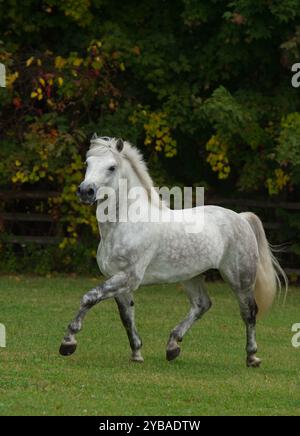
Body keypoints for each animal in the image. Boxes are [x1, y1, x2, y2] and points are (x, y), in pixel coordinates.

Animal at [58, 135, 286, 366]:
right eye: (87, 163)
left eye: (112, 167)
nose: (85, 191)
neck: (125, 223)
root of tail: (240, 217)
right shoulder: (119, 280)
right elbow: (127, 317)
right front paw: (137, 353)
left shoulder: (129, 277)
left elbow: (89, 297)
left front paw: (68, 342)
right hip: (191, 276)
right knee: (202, 304)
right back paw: (172, 346)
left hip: (240, 279)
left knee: (249, 312)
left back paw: (252, 357)